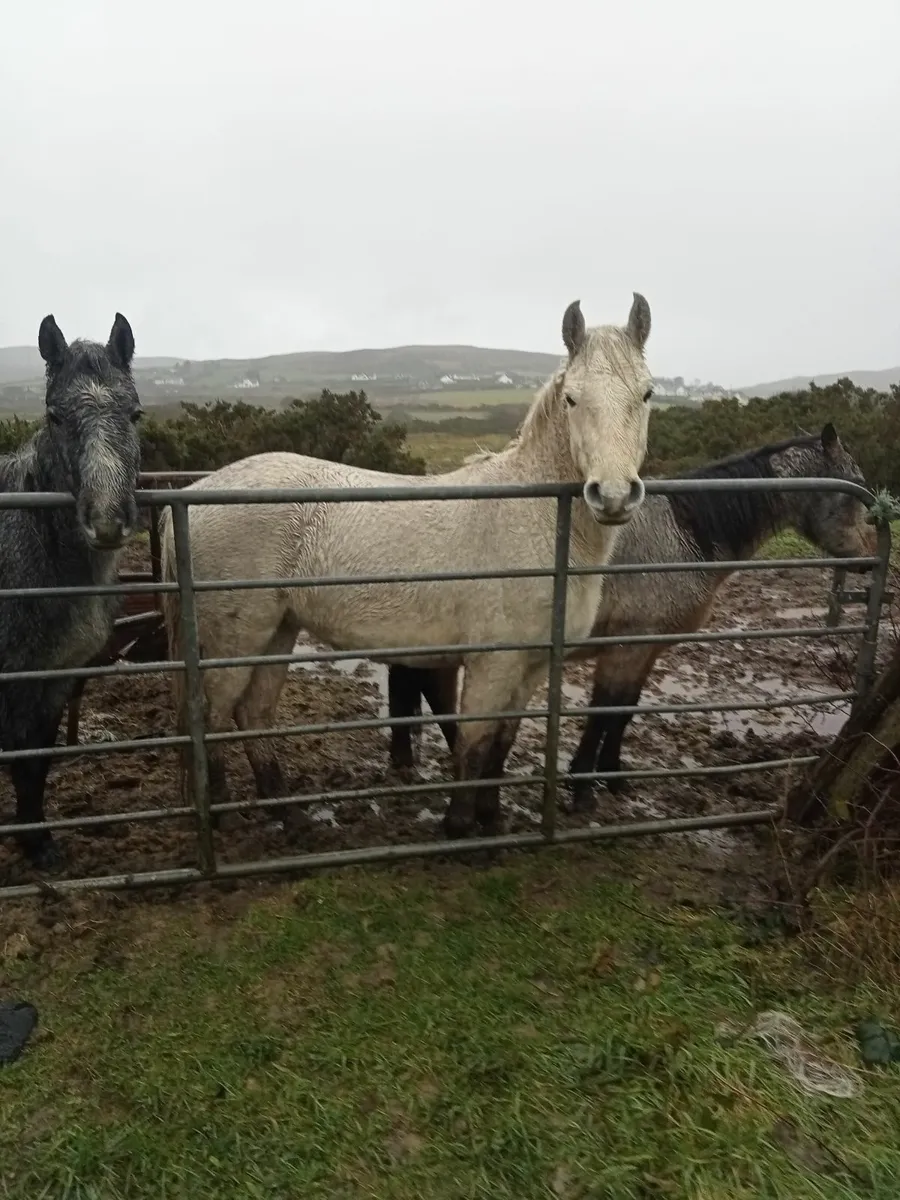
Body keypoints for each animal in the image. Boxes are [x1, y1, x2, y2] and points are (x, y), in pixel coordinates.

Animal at [0, 314, 142, 867]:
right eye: (55, 416)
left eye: (135, 414)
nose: (106, 522)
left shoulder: (57, 677)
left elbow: (37, 759)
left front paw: (38, 841)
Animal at [161, 293, 654, 839]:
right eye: (572, 399)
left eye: (647, 394)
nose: (613, 495)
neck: (535, 516)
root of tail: (193, 493)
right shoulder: (492, 662)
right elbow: (474, 741)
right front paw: (458, 826)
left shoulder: (529, 666)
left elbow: (501, 744)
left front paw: (492, 818)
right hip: (236, 640)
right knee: (211, 716)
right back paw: (222, 819)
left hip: (278, 630)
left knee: (253, 714)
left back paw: (290, 817)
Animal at [385, 424, 874, 811]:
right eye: (854, 485)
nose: (869, 559)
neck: (683, 533)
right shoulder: (624, 646)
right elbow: (605, 710)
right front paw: (583, 787)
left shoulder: (648, 647)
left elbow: (626, 710)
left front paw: (613, 775)